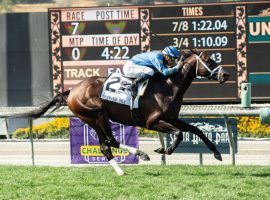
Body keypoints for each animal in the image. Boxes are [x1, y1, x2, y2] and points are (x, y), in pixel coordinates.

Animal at [17, 48, 229, 175]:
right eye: (209, 60)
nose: (225, 74)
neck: (168, 86)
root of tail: (72, 90)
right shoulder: (152, 122)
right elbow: (179, 134)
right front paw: (164, 149)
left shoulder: (172, 118)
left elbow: (196, 130)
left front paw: (217, 153)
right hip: (98, 114)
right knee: (109, 141)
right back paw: (139, 154)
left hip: (91, 119)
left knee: (106, 145)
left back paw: (121, 169)